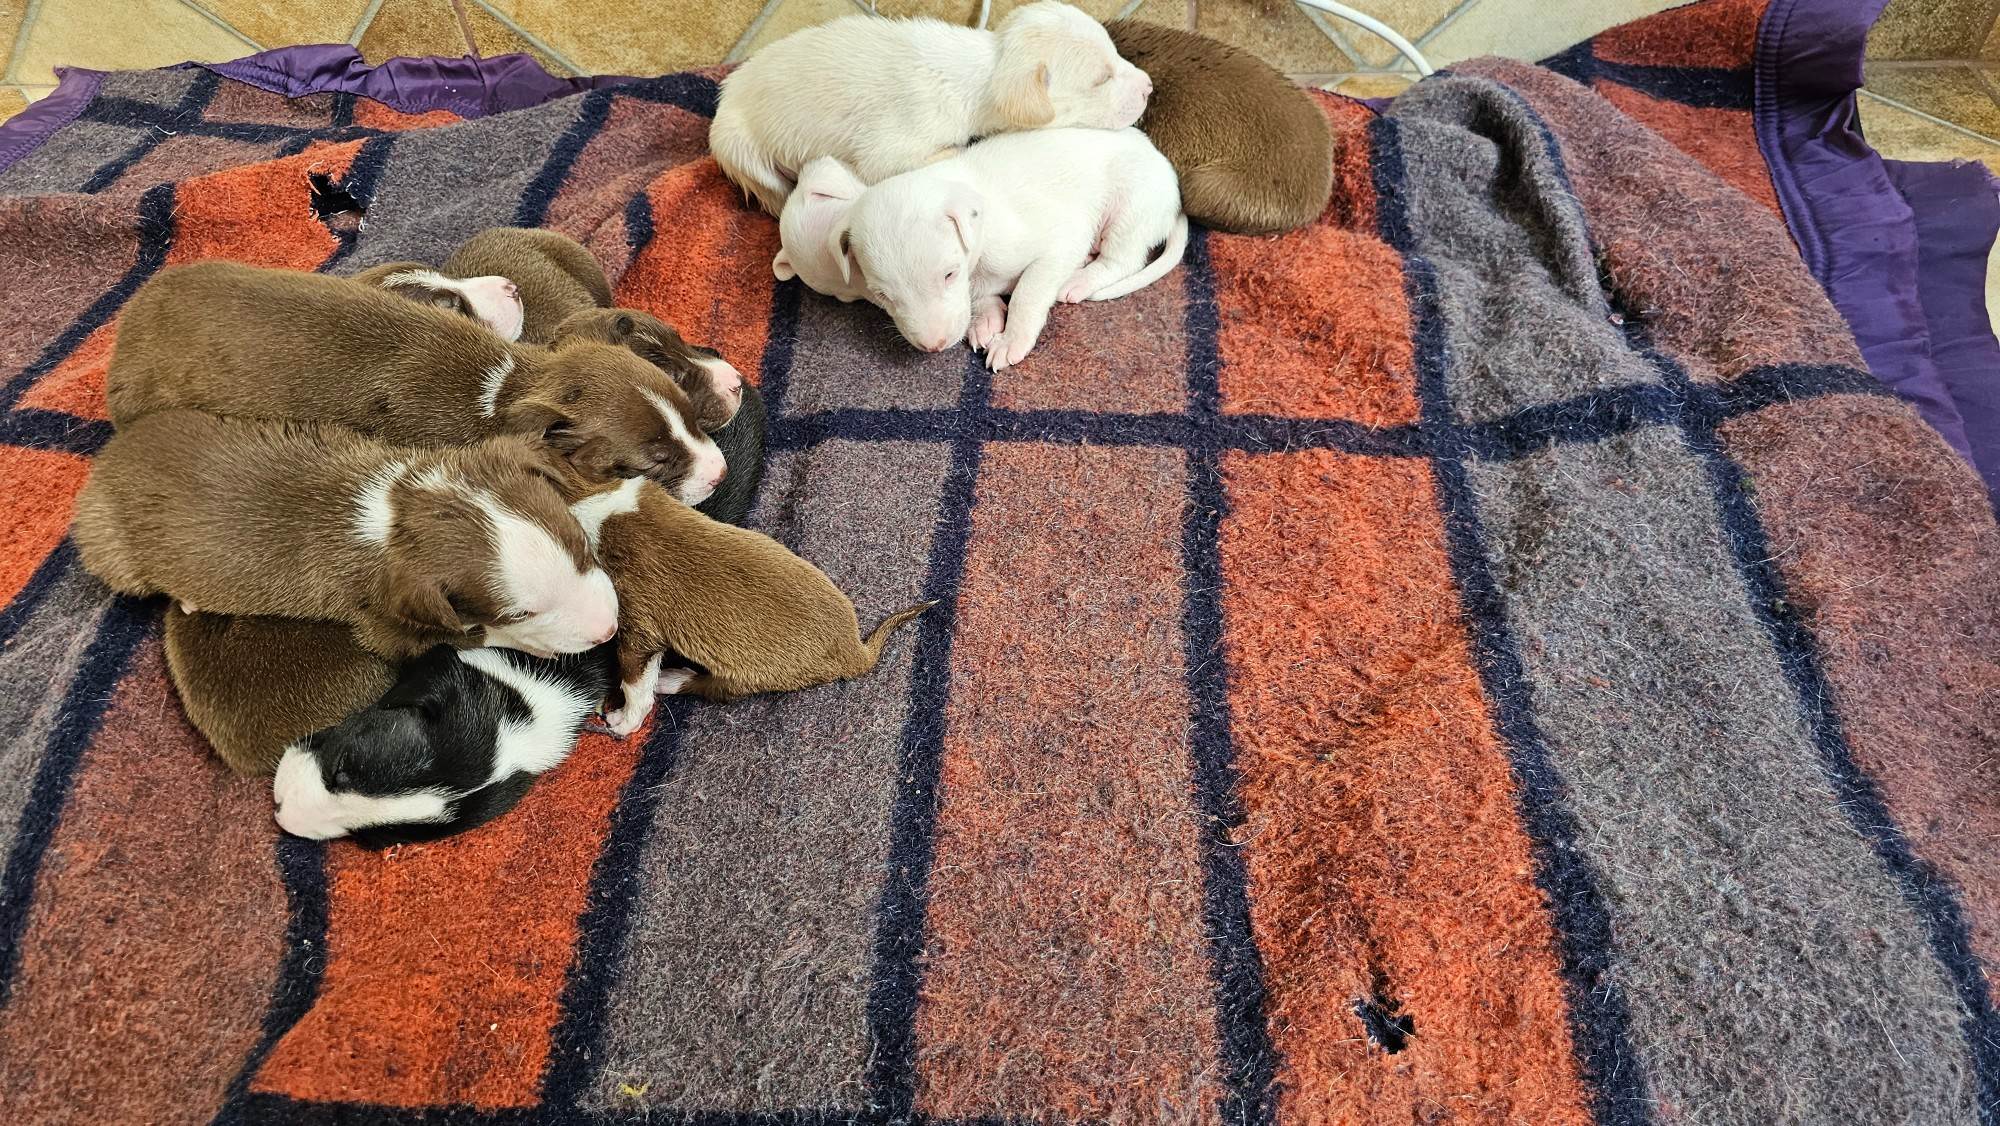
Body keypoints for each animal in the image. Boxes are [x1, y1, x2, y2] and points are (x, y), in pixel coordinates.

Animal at [74, 410, 619, 661]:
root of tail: (105, 461)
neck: (397, 506)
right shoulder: (385, 621)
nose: (609, 629)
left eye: (581, 547)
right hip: (111, 546)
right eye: (521, 613)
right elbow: (467, 633)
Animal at [563, 476, 932, 736]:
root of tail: (856, 651)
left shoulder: (637, 624)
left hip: (747, 675)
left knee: (713, 688)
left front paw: (624, 719)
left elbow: (635, 681)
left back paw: (673, 678)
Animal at [711, 1, 1151, 215]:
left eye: (1115, 53)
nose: (1149, 86)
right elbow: (928, 156)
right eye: (1100, 79)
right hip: (740, 149)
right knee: (769, 189)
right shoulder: (888, 149)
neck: (983, 67)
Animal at [830, 126, 1187, 368]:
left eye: (949, 275)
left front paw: (1012, 339)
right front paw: (985, 320)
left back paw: (1080, 279)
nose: (934, 346)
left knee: (1124, 259)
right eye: (882, 295)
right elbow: (980, 296)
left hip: (1131, 202)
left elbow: (1028, 292)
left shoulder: (1059, 239)